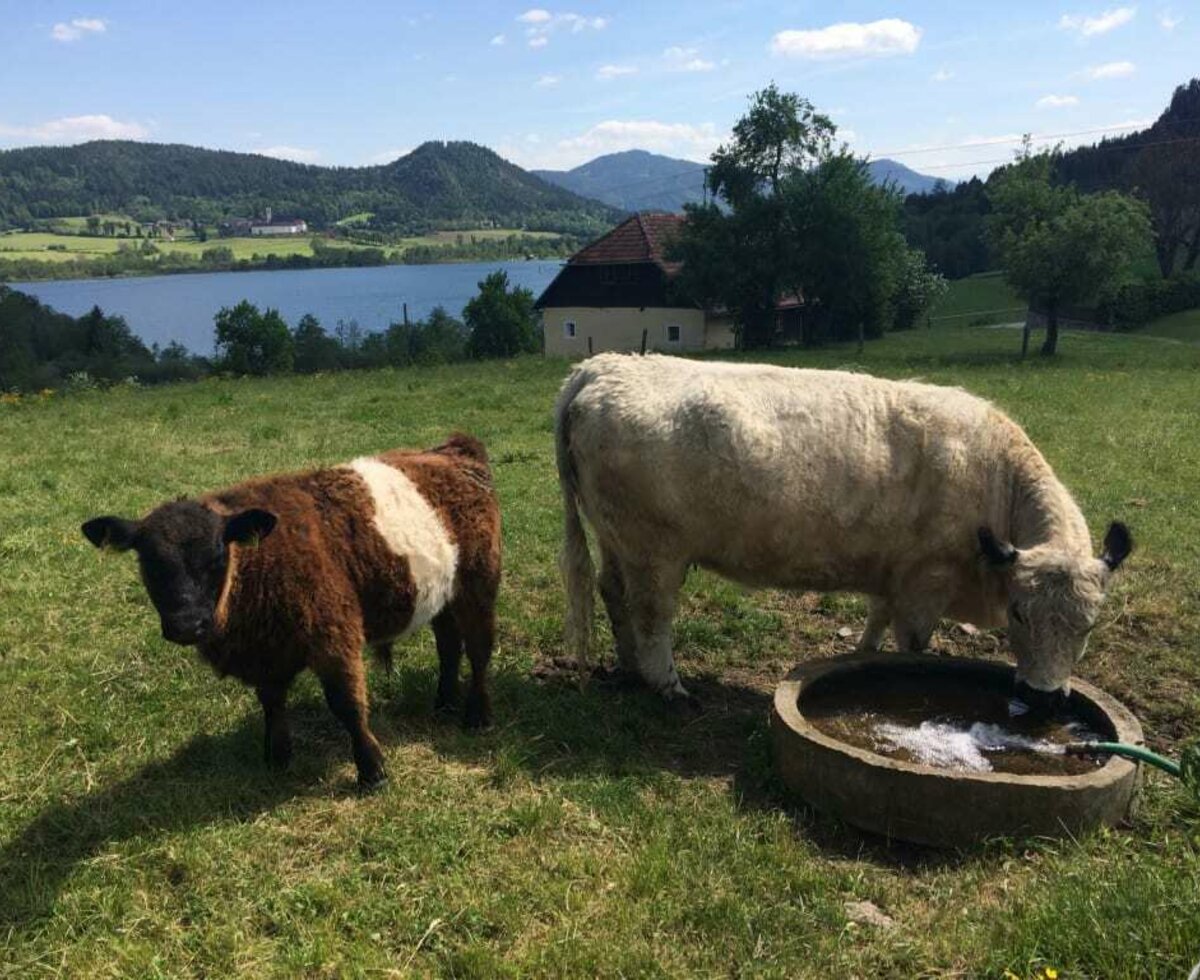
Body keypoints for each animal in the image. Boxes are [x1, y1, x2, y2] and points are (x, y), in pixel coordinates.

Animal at [81, 434, 501, 786]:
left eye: (217, 556)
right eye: (149, 564)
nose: (187, 624)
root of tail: (452, 448)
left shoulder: (334, 636)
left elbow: (347, 705)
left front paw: (372, 769)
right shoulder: (265, 652)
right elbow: (271, 703)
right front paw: (277, 756)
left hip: (478, 585)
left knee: (479, 651)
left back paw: (477, 715)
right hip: (441, 593)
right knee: (449, 646)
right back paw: (444, 704)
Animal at [554, 355, 1132, 705]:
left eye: (1088, 626)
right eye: (1018, 613)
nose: (1041, 696)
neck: (997, 477)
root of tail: (601, 366)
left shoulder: (895, 574)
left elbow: (877, 621)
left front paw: (860, 658)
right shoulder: (926, 580)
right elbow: (913, 644)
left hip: (618, 539)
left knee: (613, 592)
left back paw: (629, 665)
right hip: (654, 550)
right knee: (652, 614)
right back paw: (667, 685)